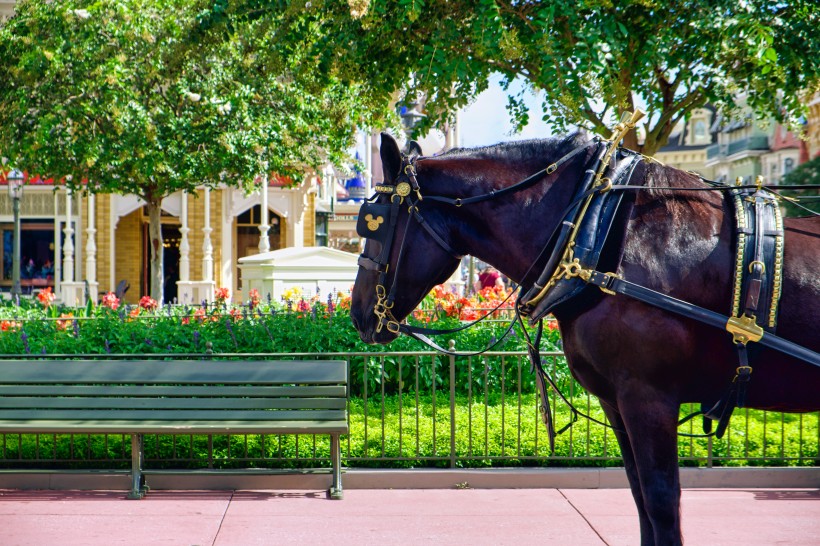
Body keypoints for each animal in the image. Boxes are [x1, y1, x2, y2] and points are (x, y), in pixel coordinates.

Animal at [352, 132, 820, 544]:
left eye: (372, 225)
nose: (357, 314)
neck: (596, 234)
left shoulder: (649, 398)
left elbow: (661, 501)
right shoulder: (618, 401)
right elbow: (640, 498)